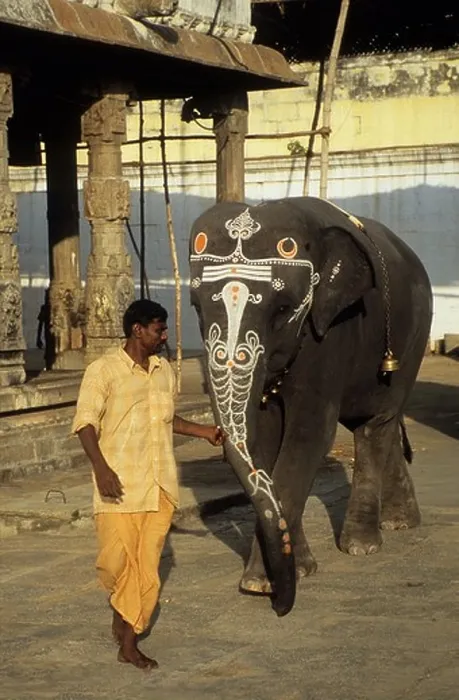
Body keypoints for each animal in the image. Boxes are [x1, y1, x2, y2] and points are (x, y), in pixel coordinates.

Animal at [188, 196, 432, 617]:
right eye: (196, 307)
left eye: (282, 310)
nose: (282, 608)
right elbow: (264, 437)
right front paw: (279, 576)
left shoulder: (331, 332)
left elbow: (309, 435)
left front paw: (263, 582)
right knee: (380, 423)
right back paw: (401, 523)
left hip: (413, 339)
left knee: (375, 425)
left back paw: (362, 546)